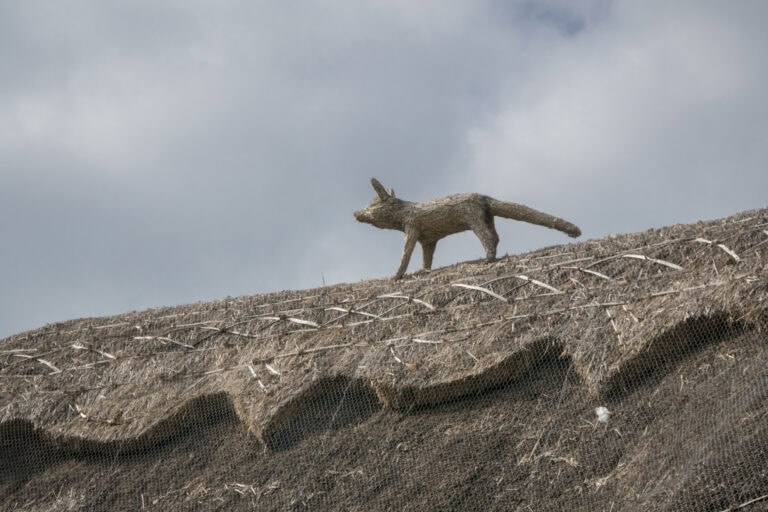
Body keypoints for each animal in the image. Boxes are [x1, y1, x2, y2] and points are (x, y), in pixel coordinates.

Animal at [354, 178, 581, 280]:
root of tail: (483, 197)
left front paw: (397, 275)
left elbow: (406, 254)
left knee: (487, 237)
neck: (404, 211)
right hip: (487, 217)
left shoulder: (412, 228)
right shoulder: (428, 239)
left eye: (372, 206)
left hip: (473, 219)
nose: (356, 213)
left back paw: (489, 258)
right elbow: (426, 258)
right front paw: (424, 270)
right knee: (495, 236)